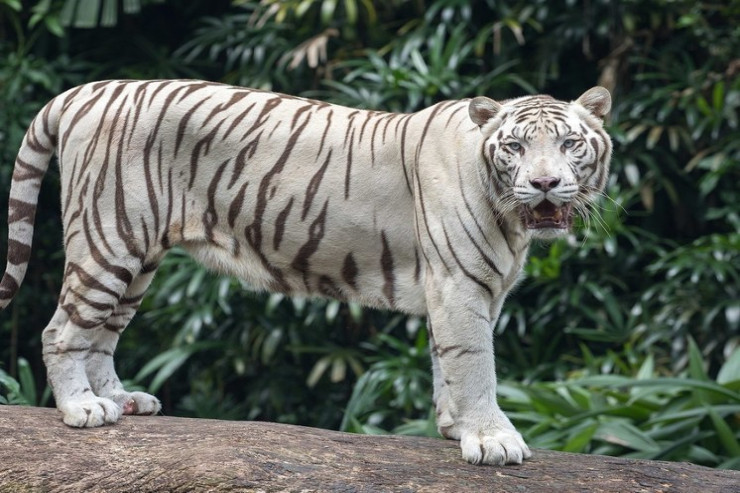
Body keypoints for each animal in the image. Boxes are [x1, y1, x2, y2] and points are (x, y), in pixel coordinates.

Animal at [0, 79, 612, 464]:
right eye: (515, 148)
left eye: (569, 143)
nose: (545, 183)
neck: (511, 218)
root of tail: (85, 91)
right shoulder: (461, 286)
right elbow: (476, 363)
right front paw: (491, 440)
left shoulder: (461, 290)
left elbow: (448, 363)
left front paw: (455, 427)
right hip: (110, 239)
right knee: (61, 331)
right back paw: (82, 408)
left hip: (139, 259)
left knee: (101, 334)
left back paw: (122, 401)